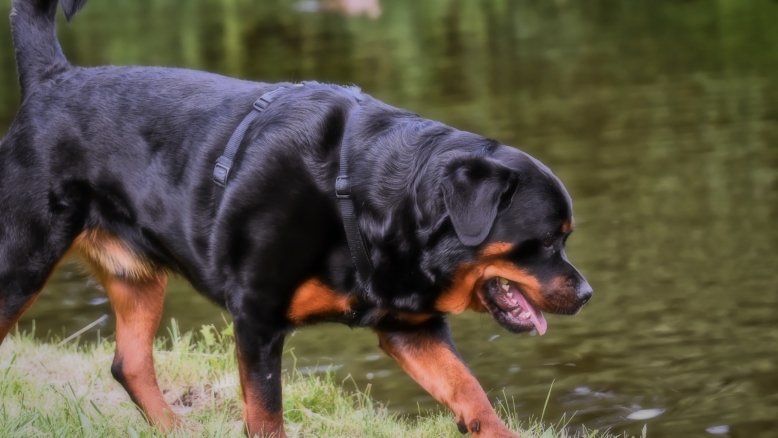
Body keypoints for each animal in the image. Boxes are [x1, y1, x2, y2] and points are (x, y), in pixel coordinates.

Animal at [0, 0, 592, 438]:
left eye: (564, 239)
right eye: (545, 241)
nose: (587, 293)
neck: (365, 197)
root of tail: (54, 77)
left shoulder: (411, 326)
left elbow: (469, 390)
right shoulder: (257, 319)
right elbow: (266, 414)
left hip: (136, 275)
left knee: (131, 363)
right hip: (21, 260)